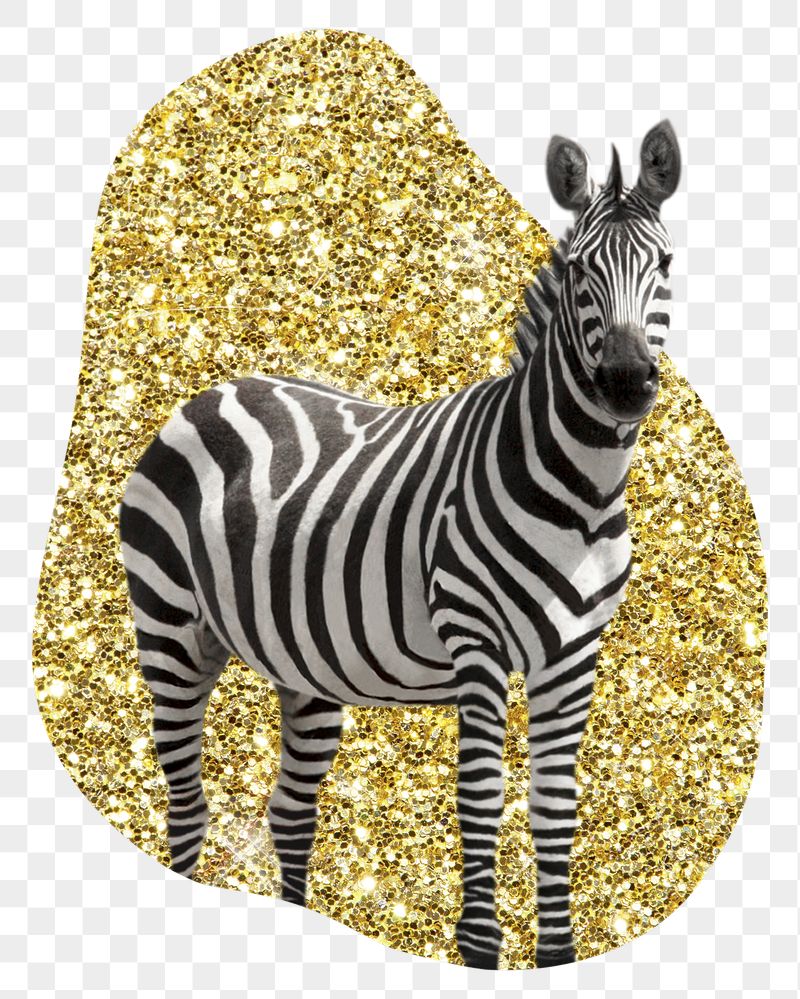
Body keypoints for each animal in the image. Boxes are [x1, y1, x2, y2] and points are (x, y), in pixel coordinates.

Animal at [119, 120, 681, 969]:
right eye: (581, 269)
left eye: (666, 265)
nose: (623, 380)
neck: (581, 491)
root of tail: (214, 390)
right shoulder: (478, 641)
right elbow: (481, 796)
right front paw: (480, 948)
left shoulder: (575, 654)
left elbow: (555, 804)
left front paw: (556, 954)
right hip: (172, 633)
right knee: (186, 805)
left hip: (305, 663)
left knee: (290, 812)